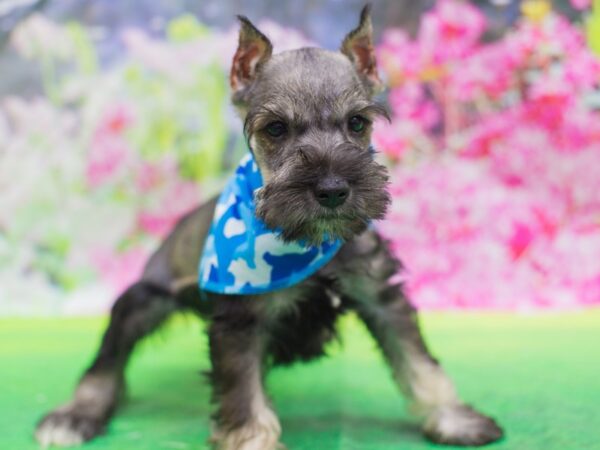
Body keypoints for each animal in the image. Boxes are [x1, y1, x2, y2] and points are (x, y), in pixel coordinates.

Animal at [35, 7, 504, 450]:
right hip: (141, 299)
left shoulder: (381, 295)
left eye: (357, 123)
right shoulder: (240, 322)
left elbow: (419, 363)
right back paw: (74, 415)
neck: (306, 244)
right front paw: (252, 439)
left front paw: (455, 419)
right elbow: (245, 395)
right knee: (107, 360)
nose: (333, 190)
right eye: (275, 128)